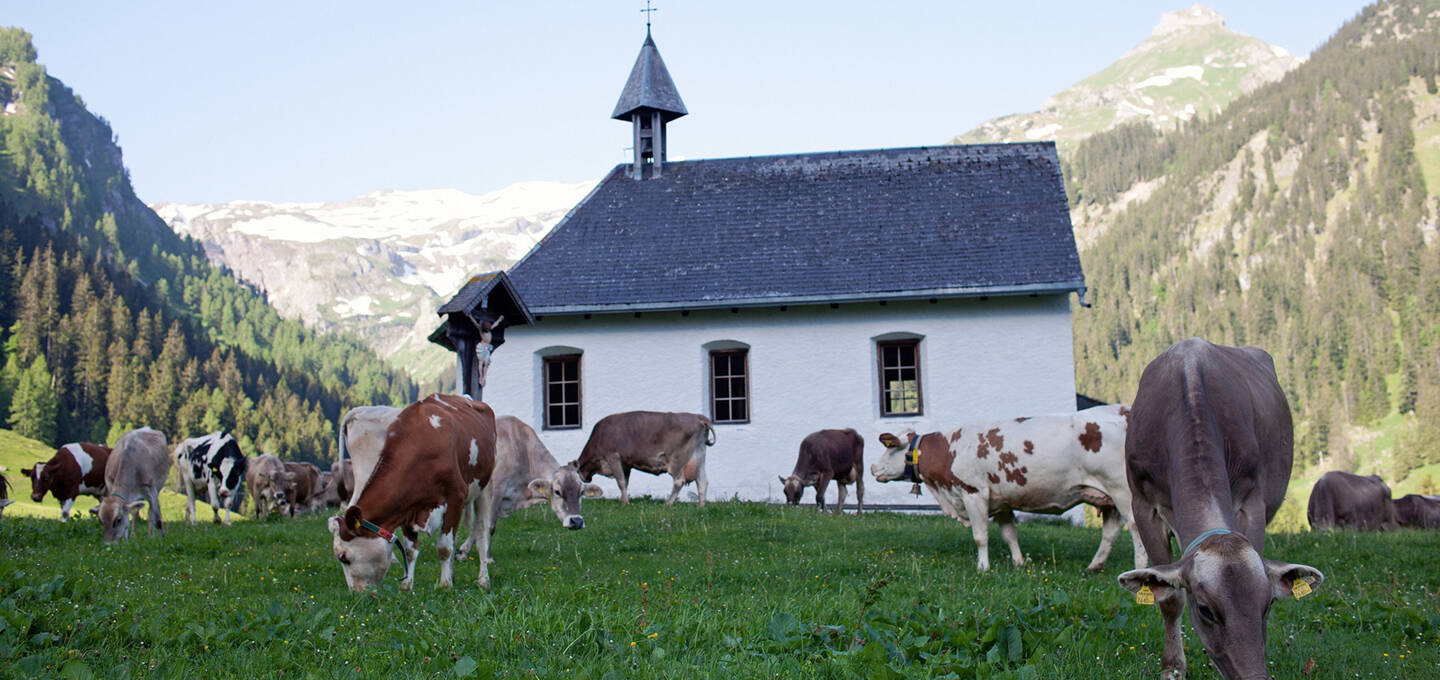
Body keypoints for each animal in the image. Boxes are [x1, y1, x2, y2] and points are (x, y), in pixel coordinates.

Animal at [329, 391, 498, 590]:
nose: (355, 593)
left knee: (482, 533)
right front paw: (407, 585)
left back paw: (484, 579)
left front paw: (444, 585)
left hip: (485, 487)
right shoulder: (406, 506)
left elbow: (444, 547)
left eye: (343, 557)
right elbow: (410, 550)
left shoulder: (456, 496)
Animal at [570, 409, 711, 504]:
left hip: (677, 460)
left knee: (679, 481)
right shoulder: (625, 464)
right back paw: (701, 506)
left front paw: (625, 503)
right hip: (699, 455)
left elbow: (620, 482)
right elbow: (625, 482)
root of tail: (696, 417)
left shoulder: (613, 456)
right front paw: (624, 501)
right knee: (702, 481)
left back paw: (668, 503)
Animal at [869, 403, 1140, 573]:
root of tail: (1121, 410)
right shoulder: (1000, 502)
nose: (872, 467)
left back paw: (1140, 566)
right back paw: (1094, 566)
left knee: (1135, 526)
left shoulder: (973, 493)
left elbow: (980, 536)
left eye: (890, 448)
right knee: (1111, 531)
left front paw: (983, 568)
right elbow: (1010, 535)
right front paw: (1019, 563)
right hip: (1107, 496)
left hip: (1122, 489)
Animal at [1117, 338, 1319, 680]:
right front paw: (1172, 667)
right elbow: (1169, 598)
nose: (1254, 677)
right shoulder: (1143, 505)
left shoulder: (1252, 501)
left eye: (1268, 604)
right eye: (1205, 610)